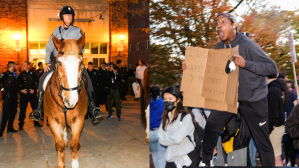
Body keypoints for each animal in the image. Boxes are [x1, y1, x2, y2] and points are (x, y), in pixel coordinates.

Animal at [43, 33, 88, 167]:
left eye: (81, 62)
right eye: (59, 63)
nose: (70, 100)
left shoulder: (78, 120)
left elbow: (74, 144)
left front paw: (75, 163)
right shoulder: (53, 121)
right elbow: (59, 145)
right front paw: (61, 163)